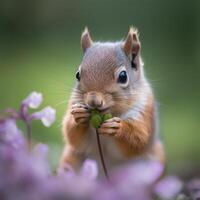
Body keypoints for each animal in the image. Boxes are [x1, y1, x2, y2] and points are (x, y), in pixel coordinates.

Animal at [59, 27, 166, 175]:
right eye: (77, 74)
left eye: (123, 76)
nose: (93, 100)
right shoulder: (73, 102)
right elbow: (73, 136)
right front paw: (79, 115)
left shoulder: (144, 109)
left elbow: (139, 139)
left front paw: (117, 127)